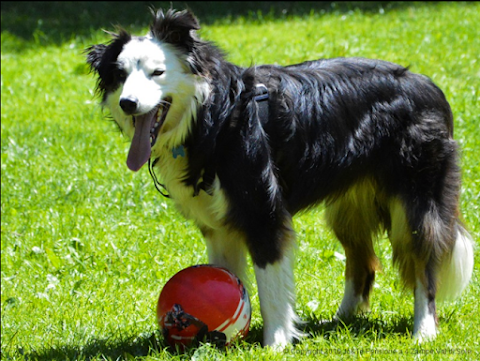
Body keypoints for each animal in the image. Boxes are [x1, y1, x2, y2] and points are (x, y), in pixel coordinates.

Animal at [87, 7, 476, 346]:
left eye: (157, 72)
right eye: (121, 75)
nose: (128, 104)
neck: (210, 115)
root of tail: (429, 86)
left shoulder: (263, 210)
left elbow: (270, 284)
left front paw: (275, 342)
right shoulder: (217, 223)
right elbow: (226, 277)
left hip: (415, 197)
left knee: (423, 262)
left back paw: (423, 330)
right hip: (349, 205)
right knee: (362, 263)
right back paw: (340, 321)